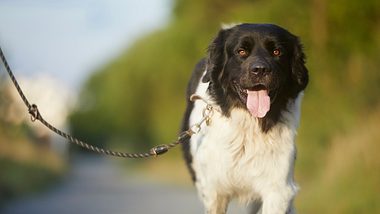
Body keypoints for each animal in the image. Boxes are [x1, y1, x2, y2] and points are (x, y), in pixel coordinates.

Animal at [181, 23, 308, 214]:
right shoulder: (214, 191)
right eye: (241, 51)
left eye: (277, 52)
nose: (260, 70)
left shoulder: (278, 189)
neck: (249, 128)